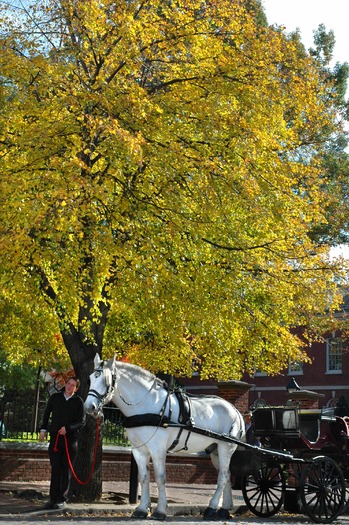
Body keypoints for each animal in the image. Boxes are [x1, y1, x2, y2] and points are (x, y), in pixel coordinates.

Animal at [83, 354, 245, 516]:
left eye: (106, 380)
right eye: (90, 379)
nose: (89, 407)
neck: (146, 405)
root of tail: (234, 410)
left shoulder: (157, 448)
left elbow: (160, 478)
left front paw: (160, 510)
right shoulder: (139, 450)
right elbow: (143, 477)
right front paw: (142, 508)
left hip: (225, 446)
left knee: (222, 476)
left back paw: (212, 507)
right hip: (214, 449)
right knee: (227, 474)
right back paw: (225, 509)